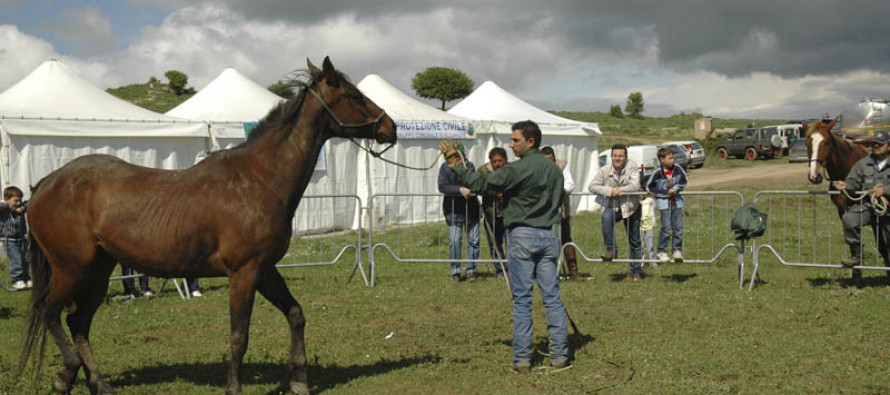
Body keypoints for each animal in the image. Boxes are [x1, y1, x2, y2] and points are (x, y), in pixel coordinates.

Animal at [18, 56, 396, 395]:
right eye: (355, 96)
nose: (391, 127)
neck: (259, 180)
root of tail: (46, 183)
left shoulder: (264, 270)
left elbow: (296, 314)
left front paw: (299, 381)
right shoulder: (244, 273)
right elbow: (239, 336)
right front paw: (234, 388)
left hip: (98, 269)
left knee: (77, 321)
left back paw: (98, 383)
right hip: (71, 268)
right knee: (50, 312)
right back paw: (66, 375)